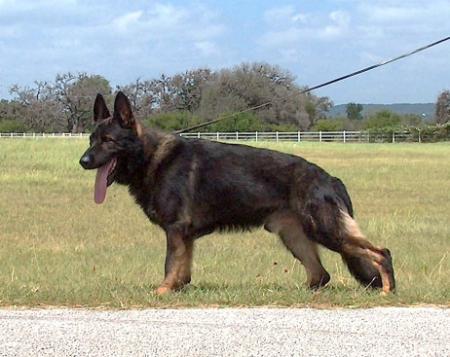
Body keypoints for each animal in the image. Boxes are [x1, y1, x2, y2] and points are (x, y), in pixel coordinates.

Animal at [80, 92, 394, 294]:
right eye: (91, 139)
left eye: (108, 141)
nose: (82, 161)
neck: (149, 157)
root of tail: (330, 177)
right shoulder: (184, 236)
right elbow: (183, 269)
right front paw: (178, 289)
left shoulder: (175, 230)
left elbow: (170, 263)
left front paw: (163, 291)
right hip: (294, 235)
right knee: (321, 275)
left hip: (325, 230)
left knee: (381, 253)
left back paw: (387, 290)